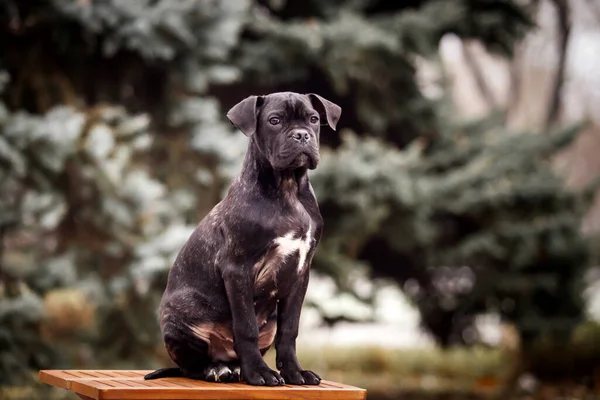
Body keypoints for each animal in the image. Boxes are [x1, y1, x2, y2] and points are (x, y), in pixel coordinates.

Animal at [144, 92, 342, 386]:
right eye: (274, 121)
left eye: (314, 119)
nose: (301, 135)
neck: (287, 187)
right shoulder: (238, 270)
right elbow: (246, 327)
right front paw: (259, 373)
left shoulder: (300, 274)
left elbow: (290, 329)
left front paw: (294, 372)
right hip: (181, 319)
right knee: (191, 366)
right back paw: (218, 370)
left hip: (269, 323)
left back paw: (235, 369)